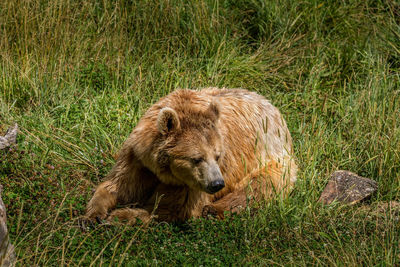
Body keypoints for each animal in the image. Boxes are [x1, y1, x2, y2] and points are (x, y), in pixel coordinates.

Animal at [86, 87, 298, 224]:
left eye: (217, 156)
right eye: (197, 158)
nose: (217, 184)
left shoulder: (189, 184)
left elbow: (176, 209)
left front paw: (121, 216)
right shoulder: (138, 160)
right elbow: (118, 184)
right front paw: (93, 214)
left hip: (272, 156)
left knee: (259, 185)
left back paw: (214, 209)